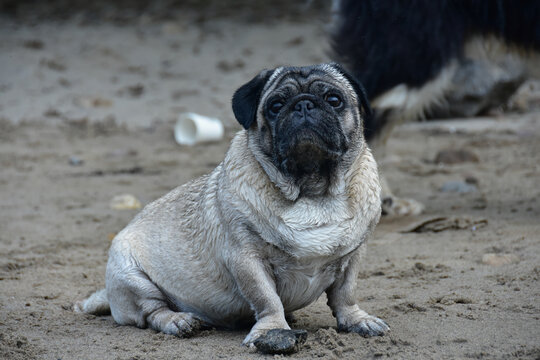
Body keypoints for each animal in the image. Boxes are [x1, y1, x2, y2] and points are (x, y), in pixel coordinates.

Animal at [76, 63, 388, 348]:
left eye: (334, 100)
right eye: (275, 106)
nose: (304, 104)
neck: (312, 191)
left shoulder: (352, 257)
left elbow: (346, 294)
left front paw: (357, 320)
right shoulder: (247, 259)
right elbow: (267, 298)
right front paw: (271, 329)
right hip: (131, 275)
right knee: (153, 311)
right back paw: (178, 320)